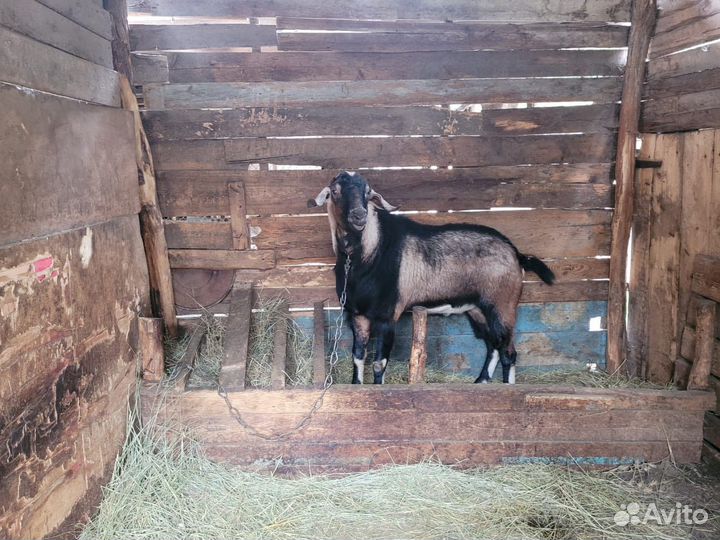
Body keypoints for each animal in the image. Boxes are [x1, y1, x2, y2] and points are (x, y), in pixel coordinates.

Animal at [308, 171, 555, 385]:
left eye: (368, 192)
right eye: (335, 191)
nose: (359, 215)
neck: (368, 254)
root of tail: (516, 254)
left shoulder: (388, 315)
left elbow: (379, 363)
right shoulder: (357, 314)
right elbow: (358, 357)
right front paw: (356, 386)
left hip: (502, 304)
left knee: (508, 350)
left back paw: (507, 387)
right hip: (477, 309)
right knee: (493, 344)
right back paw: (481, 380)